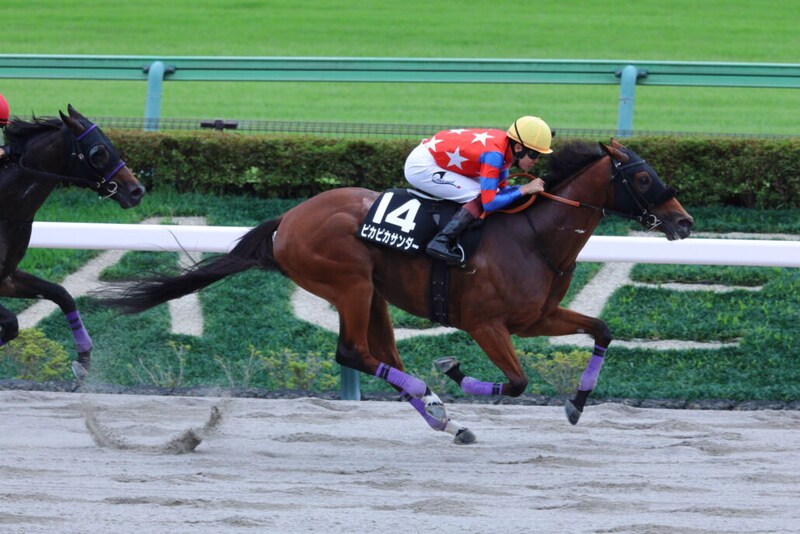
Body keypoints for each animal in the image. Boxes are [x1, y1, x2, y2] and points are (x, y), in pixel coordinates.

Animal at [0, 105, 145, 381]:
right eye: (99, 151)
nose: (137, 190)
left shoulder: (7, 278)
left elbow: (62, 295)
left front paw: (83, 360)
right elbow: (11, 322)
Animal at [97, 139, 692, 444]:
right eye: (642, 178)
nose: (683, 222)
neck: (534, 235)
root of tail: (289, 218)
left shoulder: (537, 317)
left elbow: (603, 330)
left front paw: (576, 403)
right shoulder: (485, 323)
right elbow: (519, 381)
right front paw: (454, 368)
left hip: (373, 294)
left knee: (381, 354)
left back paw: (443, 417)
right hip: (349, 283)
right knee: (353, 352)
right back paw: (438, 401)